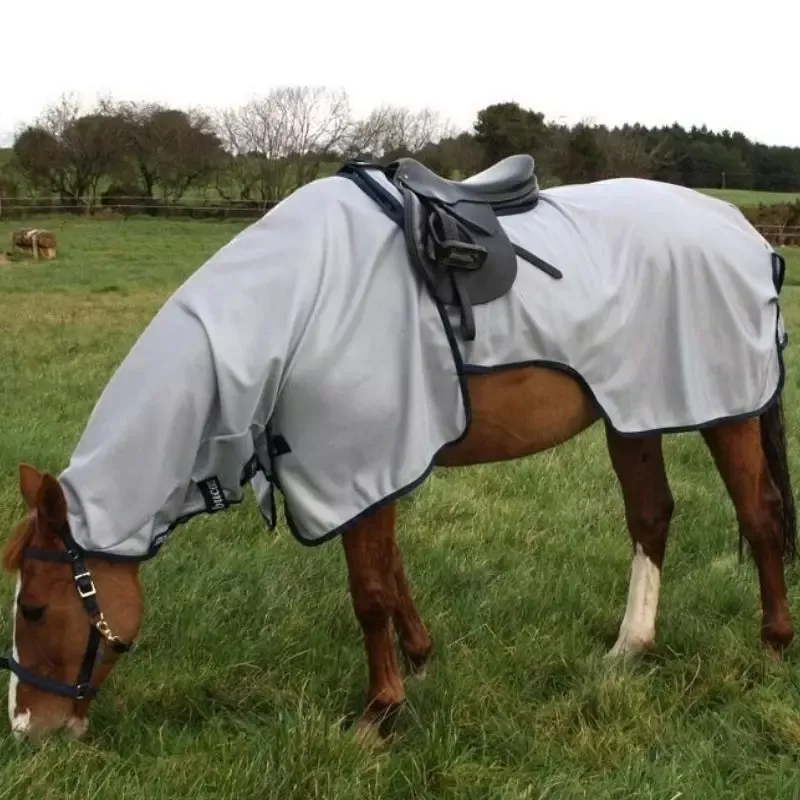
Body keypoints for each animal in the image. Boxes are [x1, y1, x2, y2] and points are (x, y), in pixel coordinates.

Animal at [2, 155, 794, 743]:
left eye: (34, 609)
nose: (27, 728)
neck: (290, 306)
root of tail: (741, 230)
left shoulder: (354, 460)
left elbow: (370, 591)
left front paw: (379, 712)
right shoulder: (371, 465)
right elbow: (392, 573)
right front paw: (417, 663)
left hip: (722, 410)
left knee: (758, 516)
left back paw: (773, 644)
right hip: (634, 411)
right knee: (651, 517)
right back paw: (630, 648)